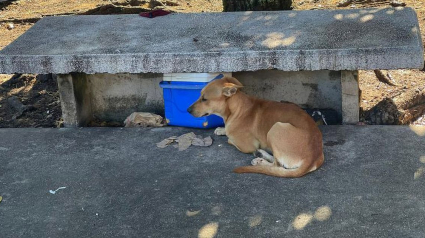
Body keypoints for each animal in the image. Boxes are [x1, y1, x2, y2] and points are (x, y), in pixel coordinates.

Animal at [187, 77, 322, 178]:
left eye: (204, 99)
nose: (187, 110)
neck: (237, 109)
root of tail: (313, 158)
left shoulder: (247, 145)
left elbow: (230, 139)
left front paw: (226, 133)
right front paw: (221, 129)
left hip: (276, 127)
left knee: (277, 165)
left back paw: (260, 161)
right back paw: (261, 154)